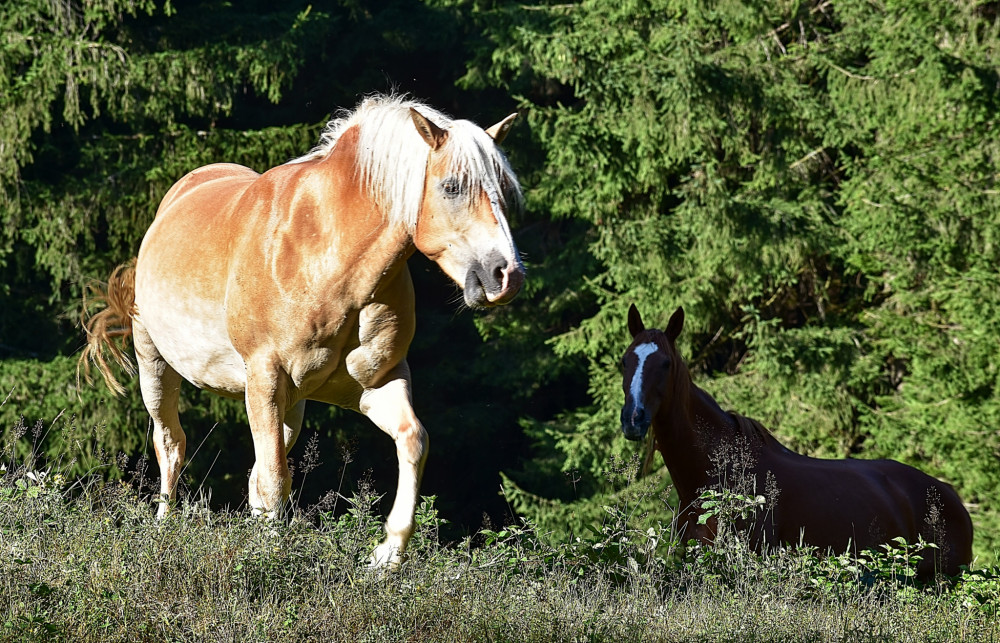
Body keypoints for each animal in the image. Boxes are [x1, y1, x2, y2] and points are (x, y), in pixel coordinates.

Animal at [82, 95, 528, 568]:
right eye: (452, 187)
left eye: (503, 190)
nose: (507, 276)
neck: (326, 259)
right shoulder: (264, 378)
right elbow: (275, 478)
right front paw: (272, 560)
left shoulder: (376, 384)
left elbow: (412, 441)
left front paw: (387, 555)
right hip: (157, 368)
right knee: (171, 444)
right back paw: (164, 529)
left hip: (290, 407)